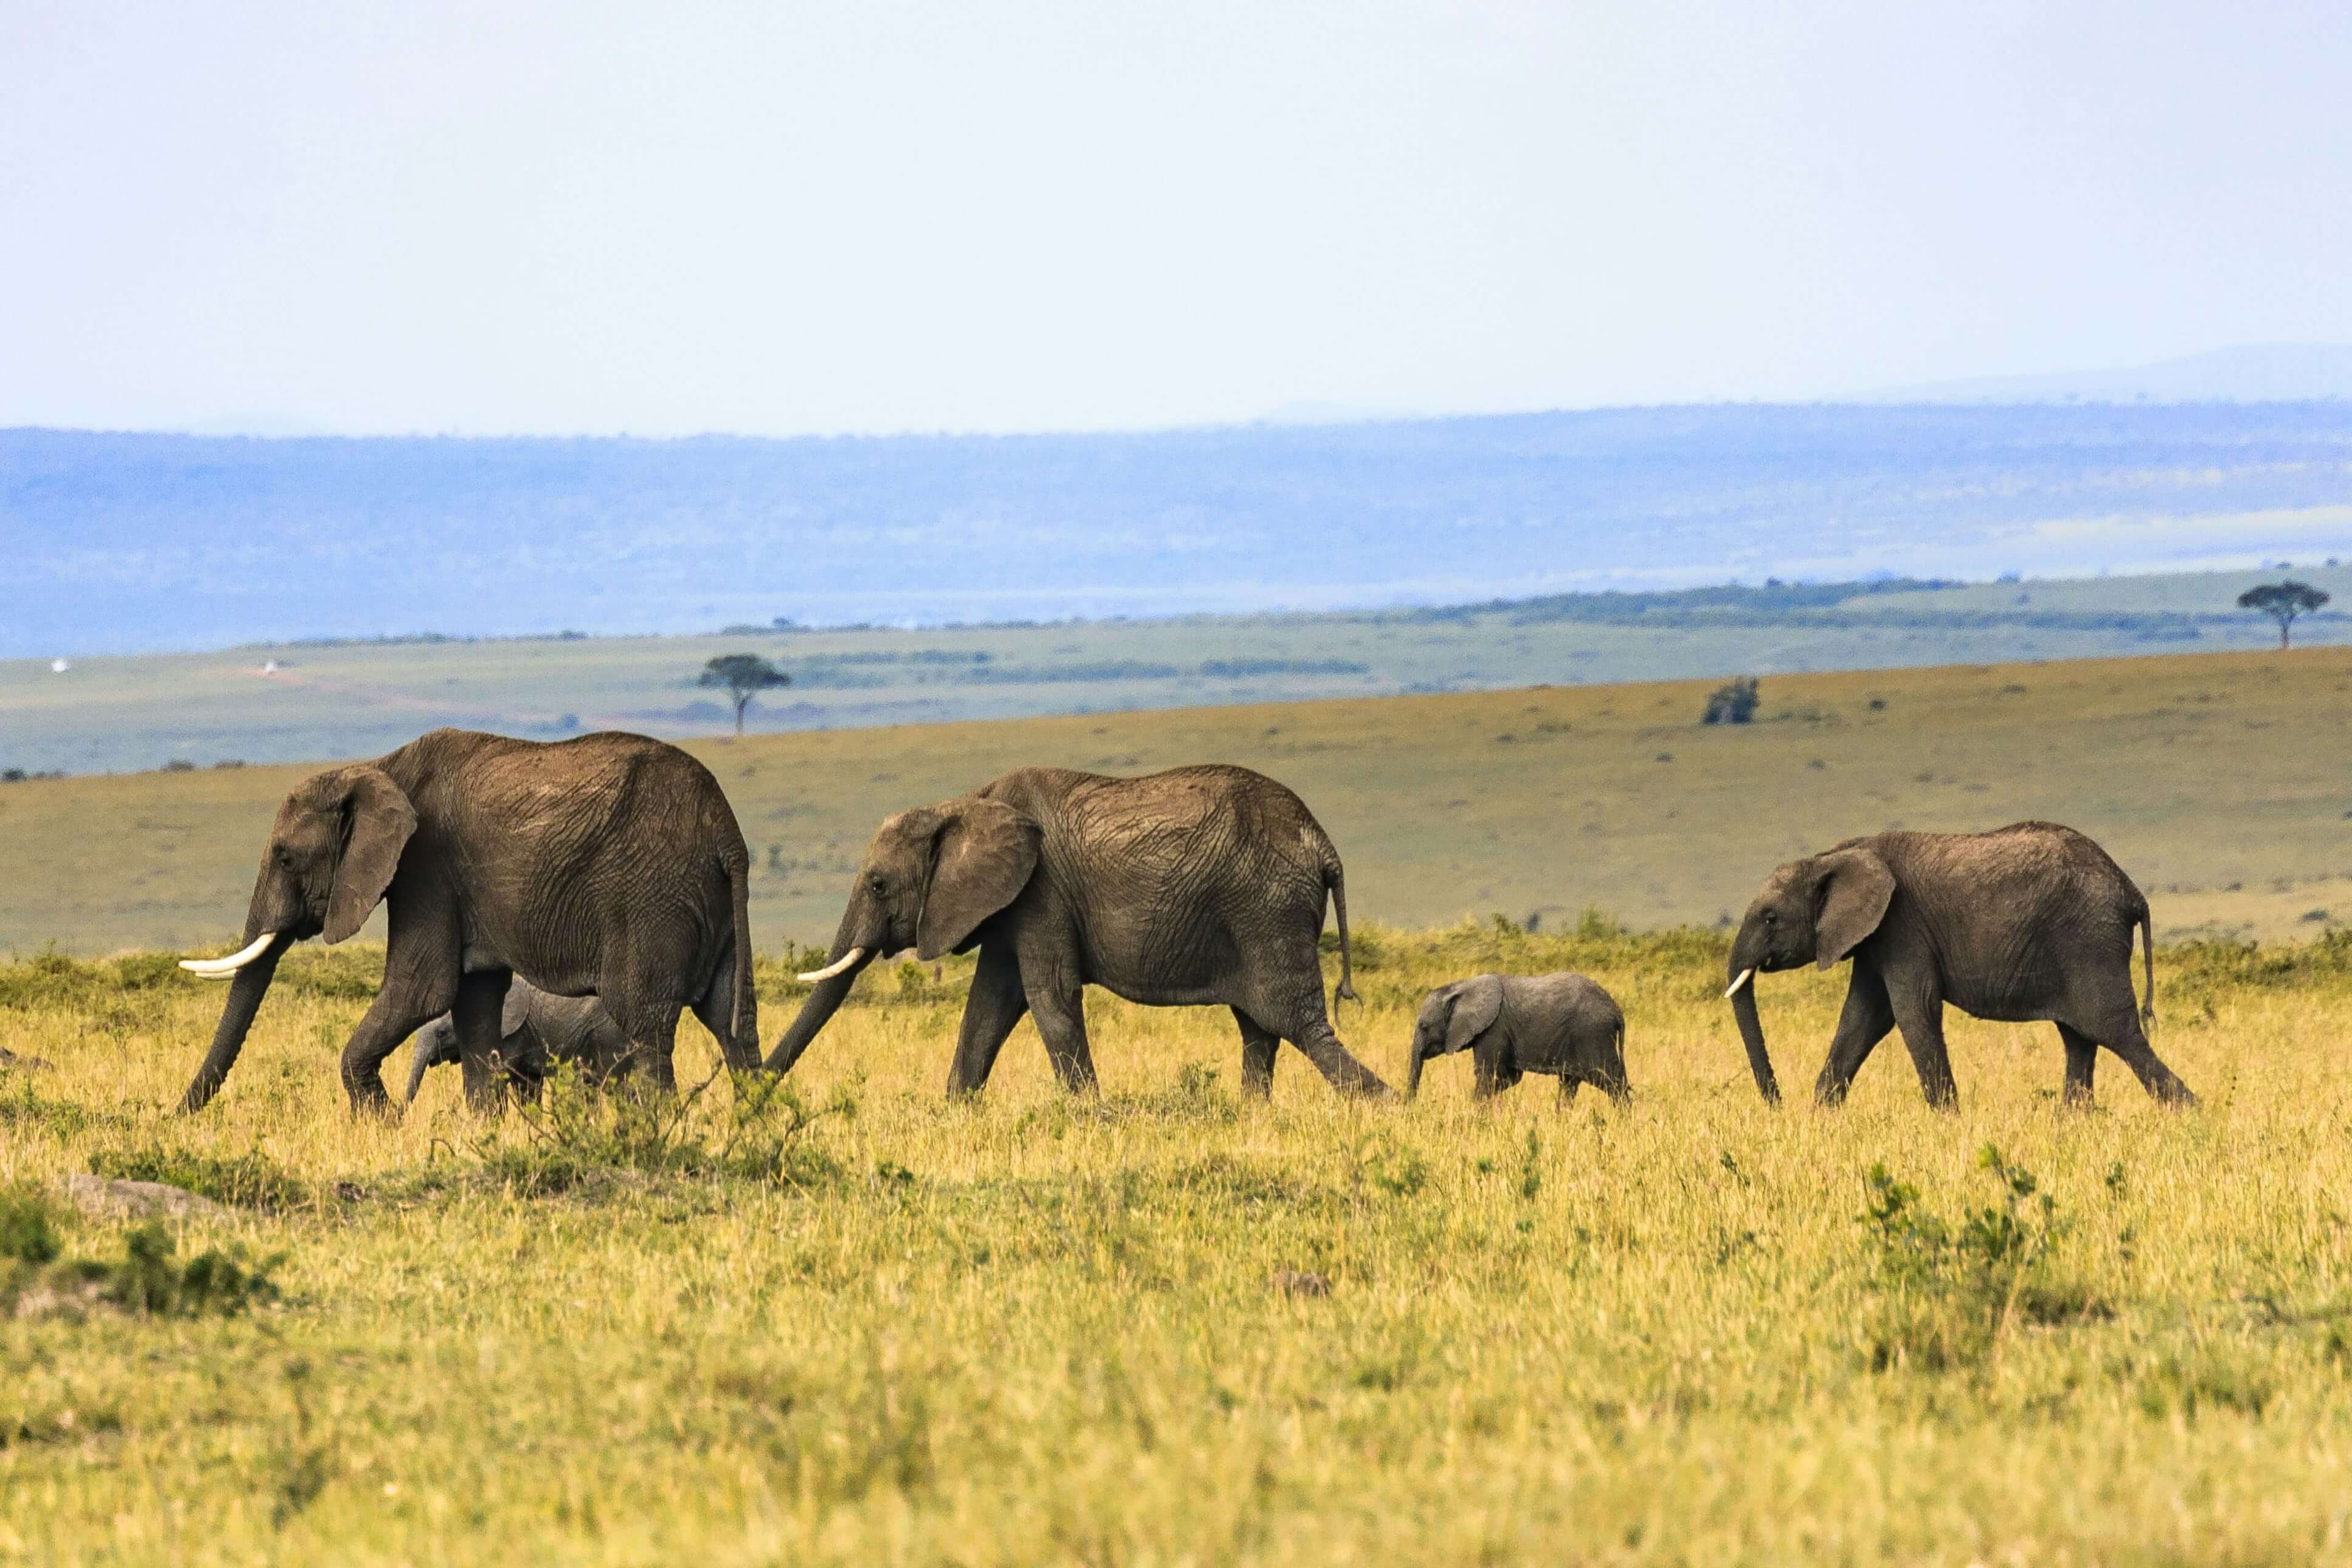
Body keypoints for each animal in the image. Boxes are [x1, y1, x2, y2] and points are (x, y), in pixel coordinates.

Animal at [407, 973, 644, 1109]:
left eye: (442, 1033)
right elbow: (527, 1086)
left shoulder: (512, 1034)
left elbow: (498, 1078)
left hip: (608, 1034)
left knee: (614, 1084)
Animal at [762, 766, 1382, 1100]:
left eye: (877, 885)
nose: (751, 1093)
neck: (963, 803)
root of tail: (1323, 845)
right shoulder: (1010, 905)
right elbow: (989, 1007)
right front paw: (953, 1113)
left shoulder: (1043, 893)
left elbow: (1049, 997)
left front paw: (1091, 1117)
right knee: (1261, 1029)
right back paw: (1251, 1116)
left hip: (1267, 911)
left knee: (1296, 1023)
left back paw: (1387, 1108)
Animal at [1401, 968, 1627, 1104]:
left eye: (1424, 1027)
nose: (1411, 1104)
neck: (1461, 987)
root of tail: (1616, 1010)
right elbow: (1509, 1078)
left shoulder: (1494, 1029)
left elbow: (1487, 1075)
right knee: (1569, 1084)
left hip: (1593, 1035)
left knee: (1611, 1081)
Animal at [1721, 818, 2192, 1109]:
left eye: (1771, 918)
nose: (1777, 1104)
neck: (1832, 856)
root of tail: (2132, 891)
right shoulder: (1875, 938)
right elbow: (1862, 1018)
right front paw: (1820, 1116)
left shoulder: (1903, 925)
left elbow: (1913, 1011)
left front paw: (1948, 1119)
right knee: (2079, 1039)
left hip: (2089, 942)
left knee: (2115, 1032)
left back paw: (2190, 1113)